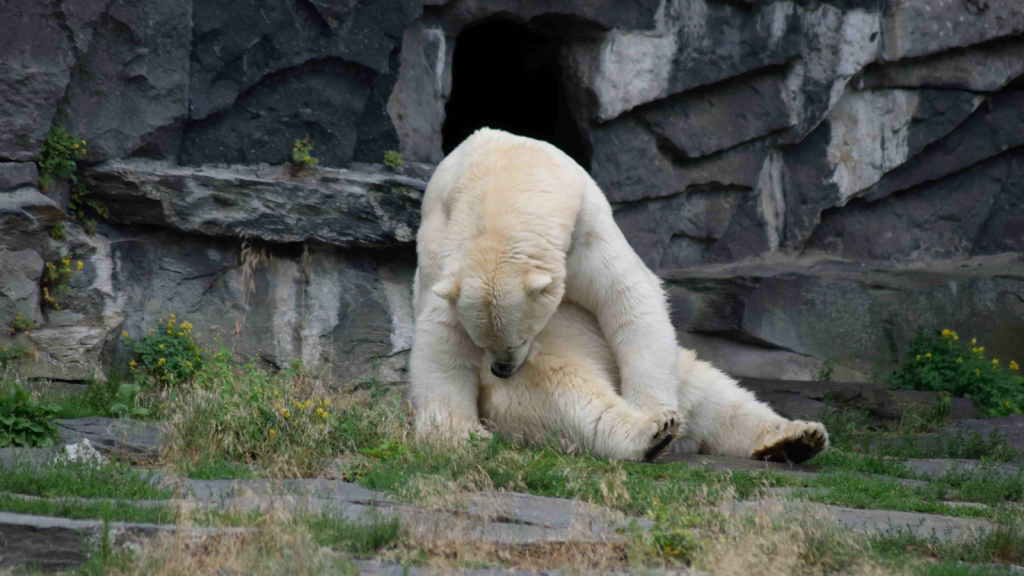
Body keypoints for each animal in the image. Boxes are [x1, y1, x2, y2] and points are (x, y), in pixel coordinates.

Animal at [411, 127, 684, 436]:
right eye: (481, 342)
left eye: (522, 338)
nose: (501, 370)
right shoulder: (443, 246)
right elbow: (442, 329)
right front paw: (455, 430)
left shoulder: (584, 232)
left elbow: (625, 296)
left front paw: (656, 412)